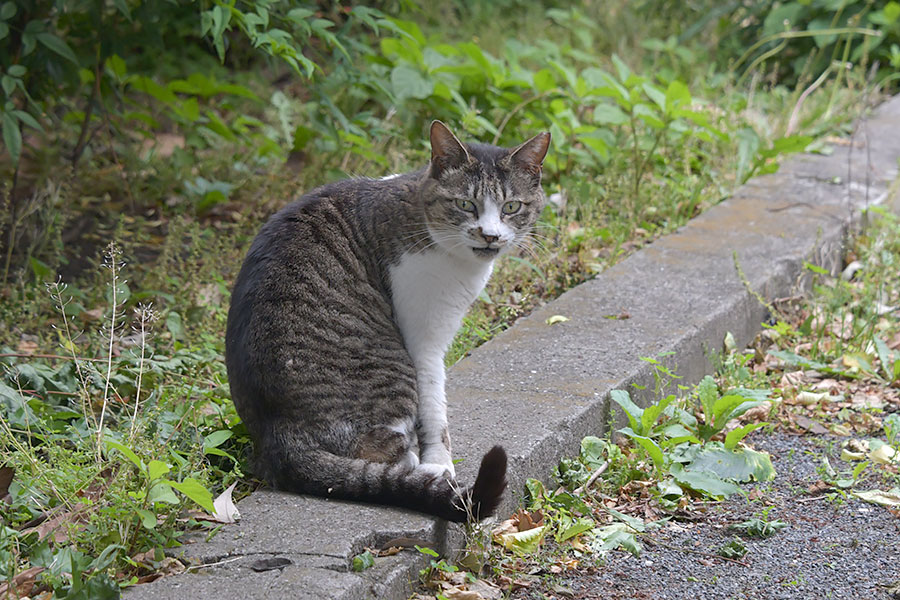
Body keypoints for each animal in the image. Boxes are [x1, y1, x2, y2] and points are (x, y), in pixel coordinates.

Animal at [225, 120, 548, 520]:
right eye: (465, 204)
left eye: (511, 207)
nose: (490, 235)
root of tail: (278, 439)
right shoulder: (424, 340)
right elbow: (435, 410)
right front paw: (441, 465)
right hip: (391, 370)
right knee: (383, 459)